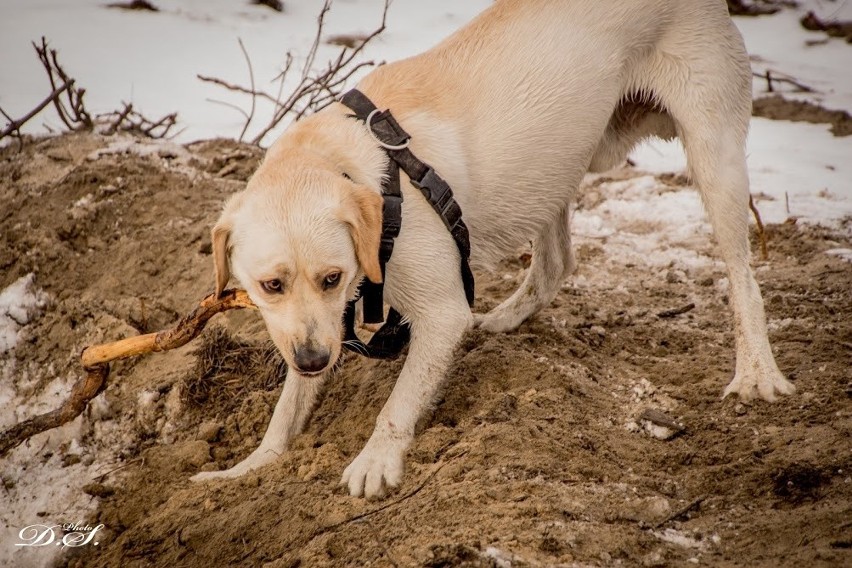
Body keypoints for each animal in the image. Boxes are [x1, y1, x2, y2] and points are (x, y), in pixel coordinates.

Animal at [193, 0, 792, 496]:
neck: (356, 169)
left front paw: (376, 460)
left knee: (743, 276)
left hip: (712, 153)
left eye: (332, 277)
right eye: (271, 285)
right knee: (556, 264)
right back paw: (504, 320)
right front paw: (251, 466)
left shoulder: (438, 315)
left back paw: (757, 373)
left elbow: (398, 403)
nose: (316, 361)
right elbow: (286, 408)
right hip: (557, 164)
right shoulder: (310, 328)